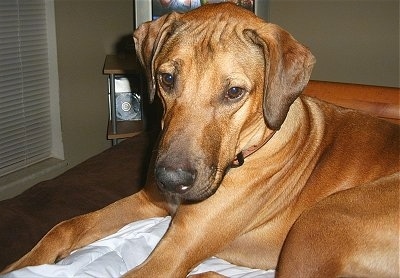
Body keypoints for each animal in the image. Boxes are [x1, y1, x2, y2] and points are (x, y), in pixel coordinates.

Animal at [1, 3, 398, 276]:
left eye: (234, 92)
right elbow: (67, 225)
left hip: (322, 221)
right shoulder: (150, 200)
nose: (170, 179)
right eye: (166, 78)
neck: (254, 146)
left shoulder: (171, 255)